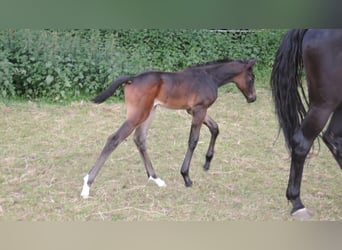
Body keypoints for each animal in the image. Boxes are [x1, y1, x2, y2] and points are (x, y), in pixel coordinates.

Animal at [81, 58, 256, 197]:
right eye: (251, 77)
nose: (253, 98)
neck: (209, 77)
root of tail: (132, 78)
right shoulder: (199, 110)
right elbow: (193, 140)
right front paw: (186, 177)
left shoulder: (194, 110)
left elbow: (215, 128)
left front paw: (207, 163)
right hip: (138, 114)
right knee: (114, 139)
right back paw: (87, 185)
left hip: (150, 111)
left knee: (140, 139)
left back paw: (155, 178)